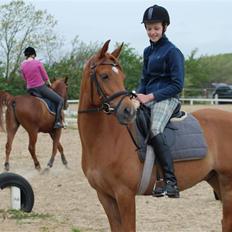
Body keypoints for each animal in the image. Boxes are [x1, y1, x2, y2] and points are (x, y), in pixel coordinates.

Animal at [77, 40, 232, 232]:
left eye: (122, 77)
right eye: (105, 76)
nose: (128, 111)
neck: (104, 140)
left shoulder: (124, 194)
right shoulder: (105, 196)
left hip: (228, 183)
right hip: (215, 179)